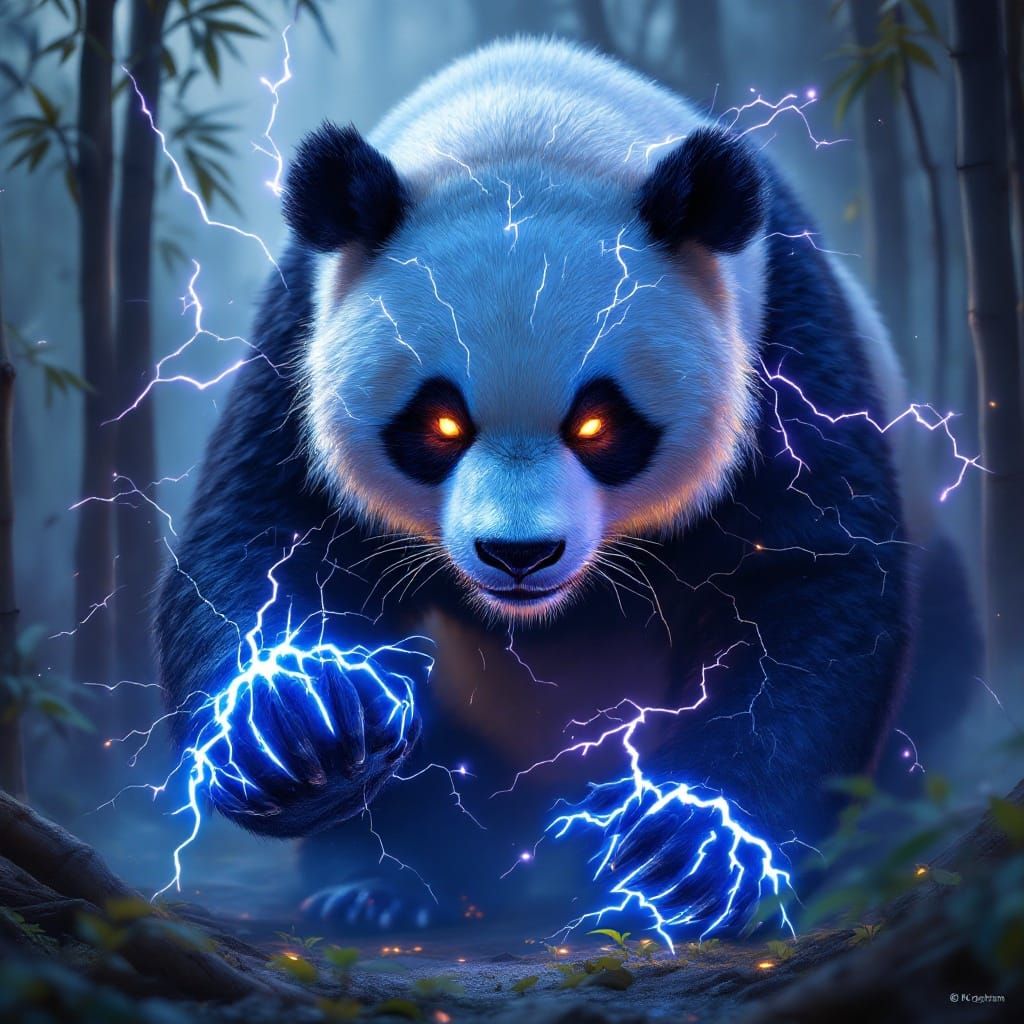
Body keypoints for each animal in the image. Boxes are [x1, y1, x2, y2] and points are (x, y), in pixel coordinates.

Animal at [156, 38, 972, 938]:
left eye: (598, 424)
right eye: (440, 424)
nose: (520, 554)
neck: (534, 125)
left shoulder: (783, 335)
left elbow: (808, 571)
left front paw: (691, 856)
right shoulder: (299, 336)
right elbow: (263, 539)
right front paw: (300, 731)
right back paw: (380, 881)